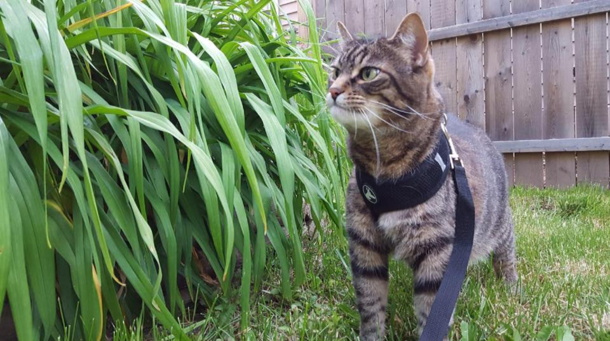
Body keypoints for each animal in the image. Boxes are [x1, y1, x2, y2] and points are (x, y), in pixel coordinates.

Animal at [326, 12, 516, 338]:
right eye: (335, 71)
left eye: (368, 73)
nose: (332, 90)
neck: (384, 169)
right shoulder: (364, 244)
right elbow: (370, 302)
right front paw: (372, 335)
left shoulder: (436, 250)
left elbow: (432, 308)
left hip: (499, 222)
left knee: (506, 248)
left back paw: (510, 283)